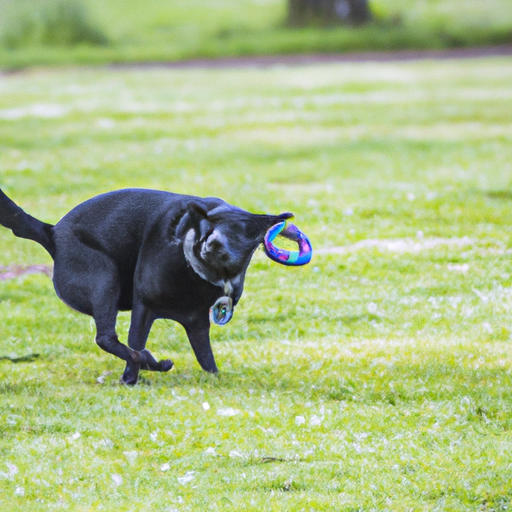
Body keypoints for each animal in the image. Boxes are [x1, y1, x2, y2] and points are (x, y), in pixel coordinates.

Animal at [0, 189, 308, 384]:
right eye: (205, 228)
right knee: (108, 339)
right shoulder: (144, 308)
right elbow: (133, 345)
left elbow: (207, 359)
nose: (210, 244)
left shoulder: (198, 323)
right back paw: (152, 362)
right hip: (104, 278)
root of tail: (51, 232)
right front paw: (133, 376)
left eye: (239, 229)